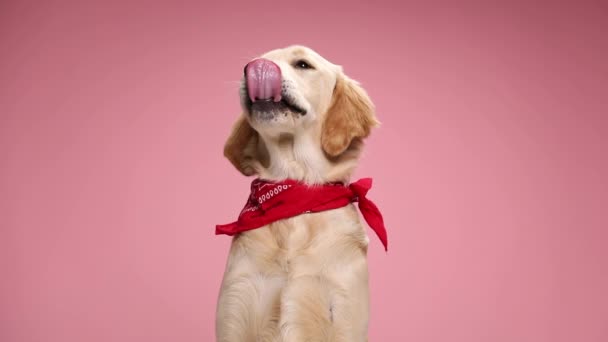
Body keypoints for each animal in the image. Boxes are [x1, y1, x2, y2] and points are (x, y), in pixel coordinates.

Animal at [215, 46, 384, 342]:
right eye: (253, 61)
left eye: (303, 64)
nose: (253, 68)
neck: (295, 189)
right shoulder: (238, 301)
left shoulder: (342, 310)